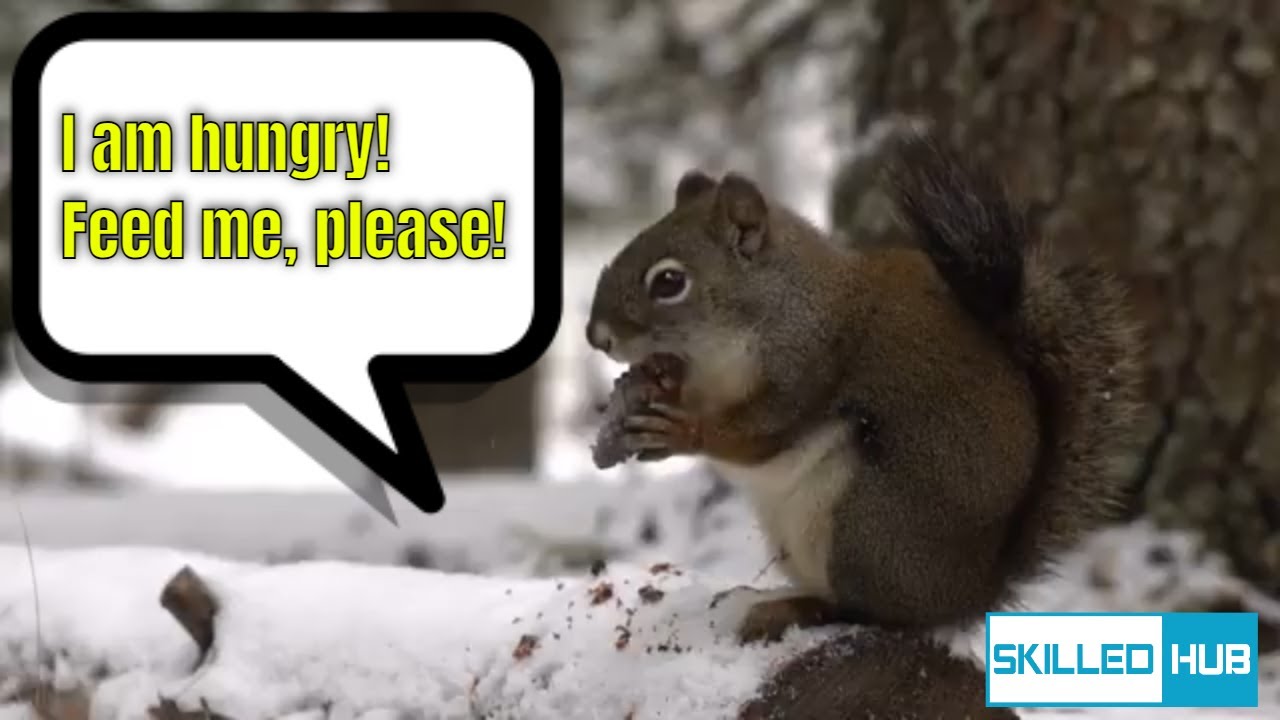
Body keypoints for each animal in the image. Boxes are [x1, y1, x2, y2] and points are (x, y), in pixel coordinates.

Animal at [584, 131, 1142, 644]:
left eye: (669, 282)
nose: (596, 336)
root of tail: (969, 595)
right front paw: (651, 401)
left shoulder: (809, 366)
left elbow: (758, 433)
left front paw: (682, 430)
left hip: (867, 523)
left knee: (872, 612)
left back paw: (795, 611)